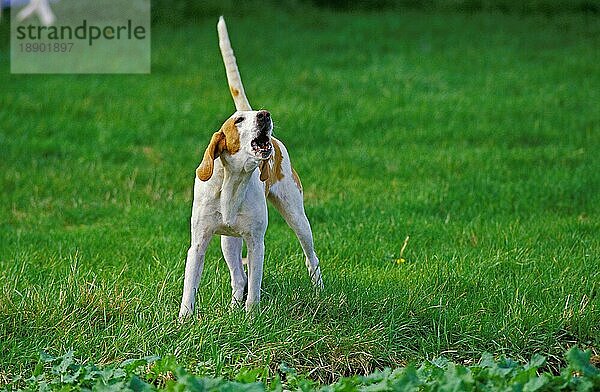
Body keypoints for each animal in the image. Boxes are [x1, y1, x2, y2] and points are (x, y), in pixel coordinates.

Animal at [179, 18, 324, 318]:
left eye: (256, 117)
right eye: (238, 121)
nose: (264, 115)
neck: (233, 181)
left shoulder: (257, 242)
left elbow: (255, 287)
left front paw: (251, 316)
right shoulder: (198, 243)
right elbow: (190, 286)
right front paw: (184, 319)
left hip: (298, 218)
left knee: (311, 257)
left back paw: (319, 290)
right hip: (228, 241)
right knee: (237, 277)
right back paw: (233, 304)